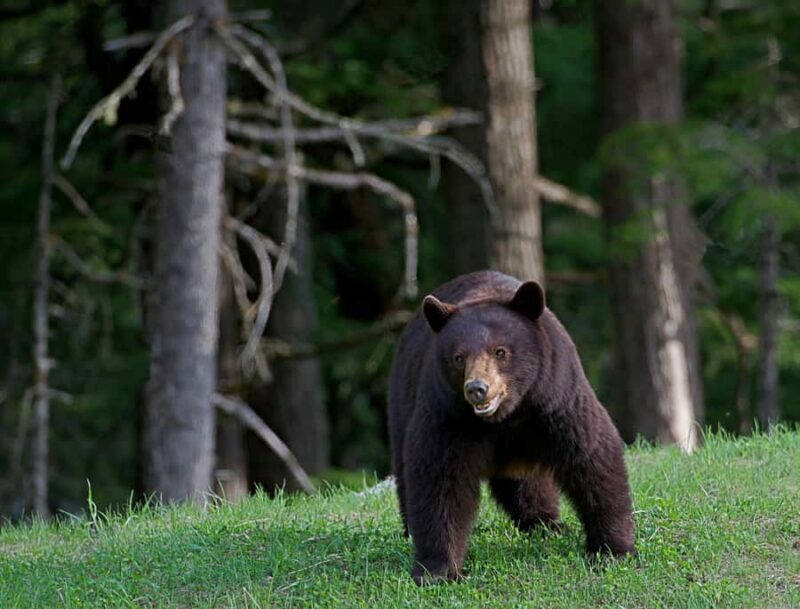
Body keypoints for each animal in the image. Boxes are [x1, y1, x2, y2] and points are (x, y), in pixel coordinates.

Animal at [387, 270, 635, 584]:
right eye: (458, 357)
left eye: (500, 351)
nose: (477, 389)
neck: (507, 416)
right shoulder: (448, 414)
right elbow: (439, 479)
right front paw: (437, 570)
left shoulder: (555, 399)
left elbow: (591, 458)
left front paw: (612, 549)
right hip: (402, 401)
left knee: (528, 483)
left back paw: (545, 523)